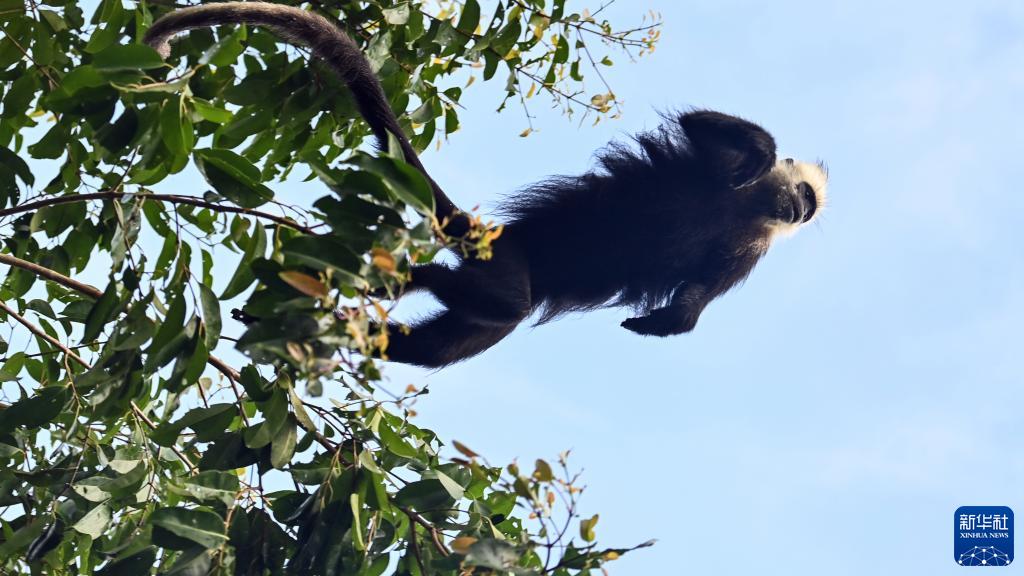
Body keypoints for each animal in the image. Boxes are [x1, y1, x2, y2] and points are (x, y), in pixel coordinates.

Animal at [145, 3, 828, 369]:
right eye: (805, 198)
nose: (800, 211)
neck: (745, 209)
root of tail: (486, 238)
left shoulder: (745, 252)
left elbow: (691, 306)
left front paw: (662, 323)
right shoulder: (717, 174)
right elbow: (719, 133)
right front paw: (754, 157)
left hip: (490, 278)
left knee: (462, 328)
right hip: (505, 262)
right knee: (503, 304)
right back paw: (410, 273)